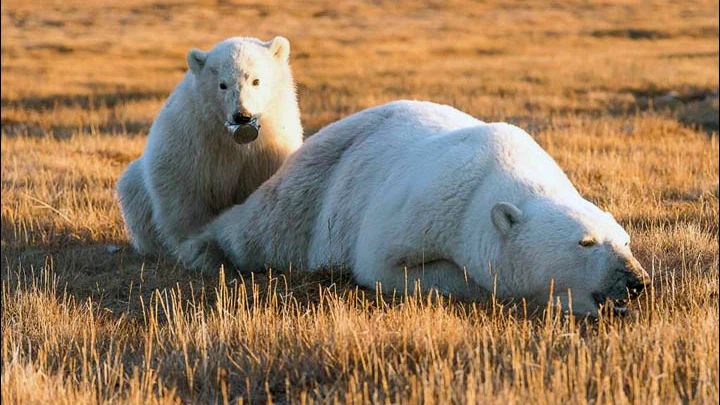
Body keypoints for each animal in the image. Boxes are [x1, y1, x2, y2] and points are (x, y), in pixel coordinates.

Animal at [116, 35, 302, 256]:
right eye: (222, 85)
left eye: (256, 80)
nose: (242, 115)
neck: (231, 140)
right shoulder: (193, 138)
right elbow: (181, 191)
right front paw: (192, 242)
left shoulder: (267, 148)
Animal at [181, 99, 652, 314]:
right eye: (585, 242)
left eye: (625, 240)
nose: (636, 281)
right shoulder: (430, 204)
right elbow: (386, 264)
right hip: (317, 183)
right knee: (263, 226)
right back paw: (203, 248)